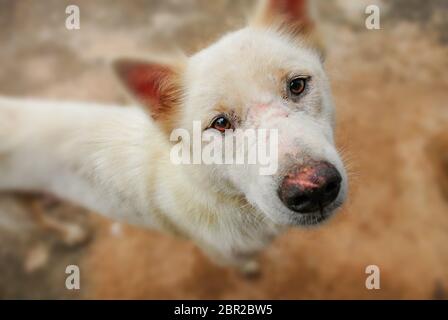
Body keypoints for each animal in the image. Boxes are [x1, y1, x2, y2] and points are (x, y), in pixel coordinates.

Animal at [0, 0, 346, 272]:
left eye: (297, 85)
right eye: (220, 123)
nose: (314, 188)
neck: (225, 198)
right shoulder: (218, 251)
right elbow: (235, 262)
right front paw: (248, 268)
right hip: (15, 213)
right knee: (38, 223)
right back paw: (68, 232)